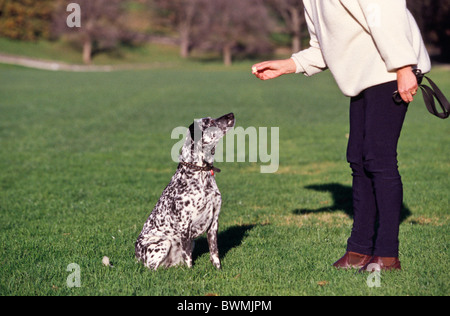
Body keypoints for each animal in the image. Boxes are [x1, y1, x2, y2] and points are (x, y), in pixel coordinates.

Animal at [135, 112, 236, 270]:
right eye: (209, 122)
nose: (231, 114)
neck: (200, 173)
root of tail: (136, 257)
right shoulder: (185, 227)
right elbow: (188, 259)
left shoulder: (214, 223)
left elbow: (215, 254)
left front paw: (218, 269)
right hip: (163, 243)